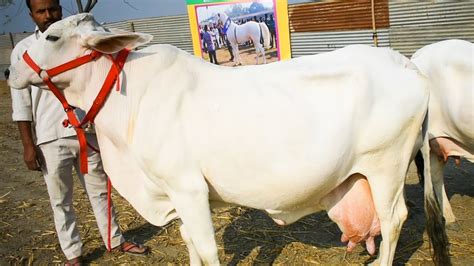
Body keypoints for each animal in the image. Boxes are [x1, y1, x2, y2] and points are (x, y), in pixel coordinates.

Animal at [9, 14, 450, 266]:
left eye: (51, 38)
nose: (10, 69)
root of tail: (406, 64)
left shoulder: (188, 188)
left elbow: (206, 248)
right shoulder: (176, 196)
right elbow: (189, 243)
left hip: (386, 166)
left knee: (394, 220)